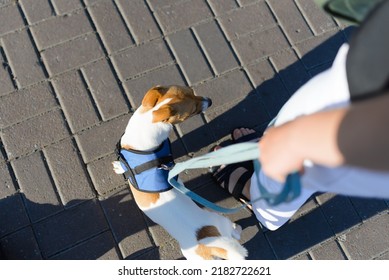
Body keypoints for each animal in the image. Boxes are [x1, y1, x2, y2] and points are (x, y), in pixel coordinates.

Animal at [112, 85, 247, 260]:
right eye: (193, 109)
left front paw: (118, 166)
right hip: (221, 222)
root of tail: (214, 245)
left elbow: (123, 166)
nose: (210, 101)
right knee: (234, 232)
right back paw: (237, 229)